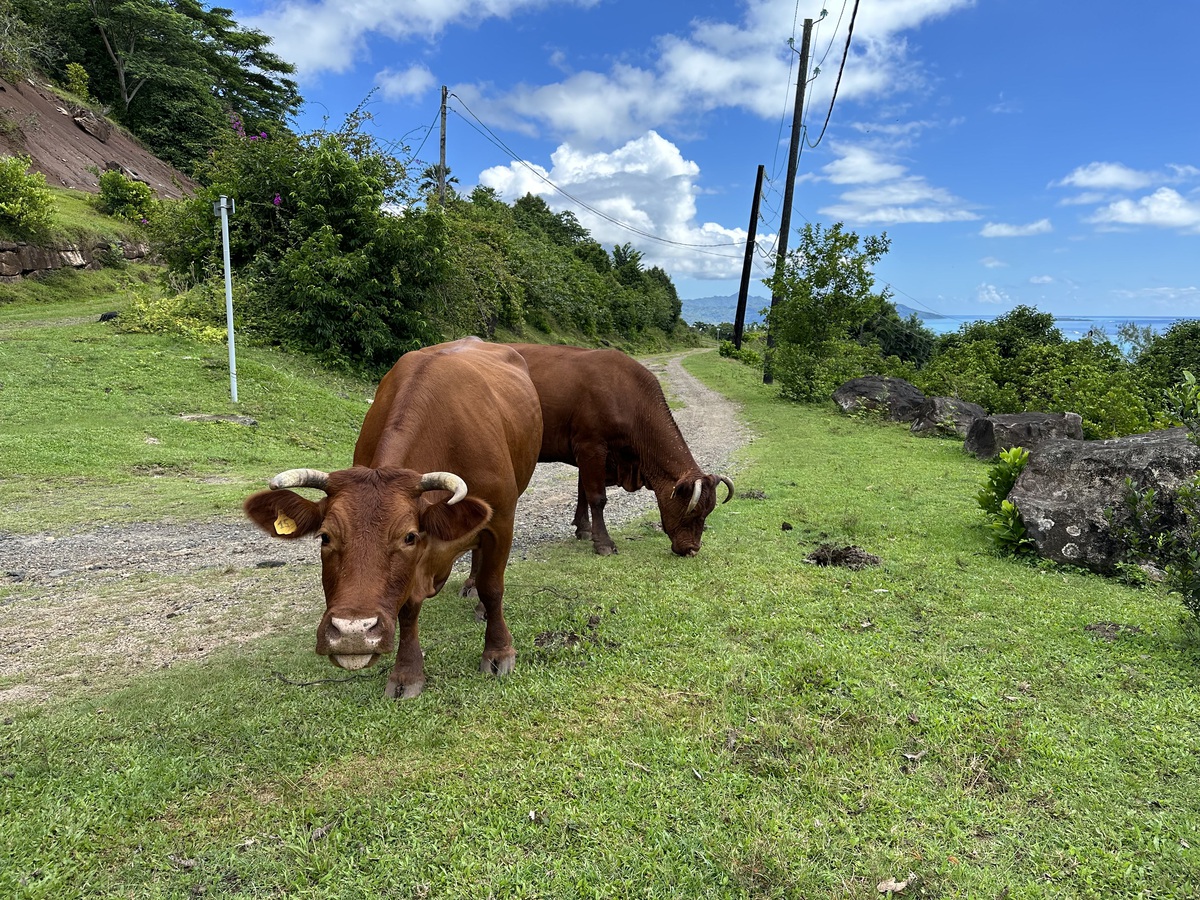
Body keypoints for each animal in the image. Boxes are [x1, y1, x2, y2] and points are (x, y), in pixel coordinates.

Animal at [242, 336, 540, 696]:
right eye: (325, 537)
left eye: (408, 536)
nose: (353, 632)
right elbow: (408, 607)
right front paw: (407, 673)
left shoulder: (500, 520)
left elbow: (493, 587)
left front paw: (498, 652)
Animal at [508, 343, 729, 556]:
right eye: (694, 512)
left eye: (708, 512)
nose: (693, 549)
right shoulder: (591, 446)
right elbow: (597, 497)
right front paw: (603, 543)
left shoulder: (590, 453)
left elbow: (582, 491)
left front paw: (583, 528)